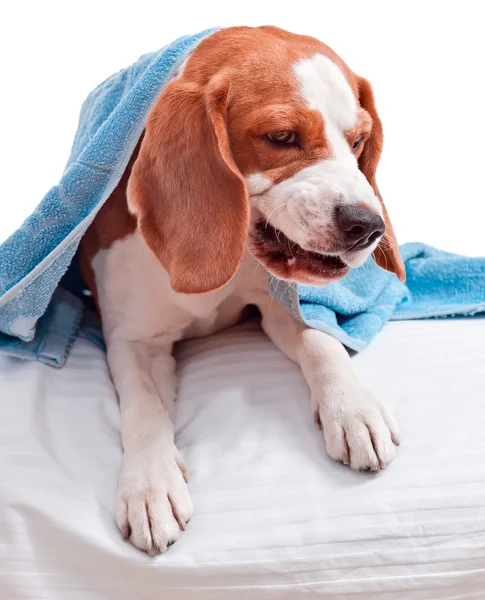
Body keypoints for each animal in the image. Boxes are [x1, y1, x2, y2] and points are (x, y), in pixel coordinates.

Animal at [79, 25, 404, 556]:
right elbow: (144, 403)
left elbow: (322, 342)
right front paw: (150, 482)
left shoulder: (275, 306)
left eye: (359, 141)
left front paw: (353, 408)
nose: (368, 226)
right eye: (282, 137)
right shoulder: (131, 340)